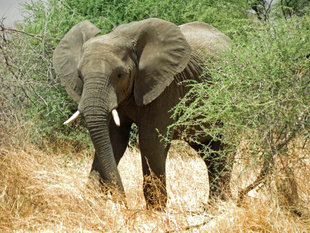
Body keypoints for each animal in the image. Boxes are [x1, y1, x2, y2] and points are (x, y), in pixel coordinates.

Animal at [54, 18, 232, 208]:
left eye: (120, 75)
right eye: (80, 76)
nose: (124, 202)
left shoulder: (165, 87)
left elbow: (150, 142)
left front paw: (155, 213)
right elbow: (114, 140)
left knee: (224, 147)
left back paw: (219, 207)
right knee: (210, 153)